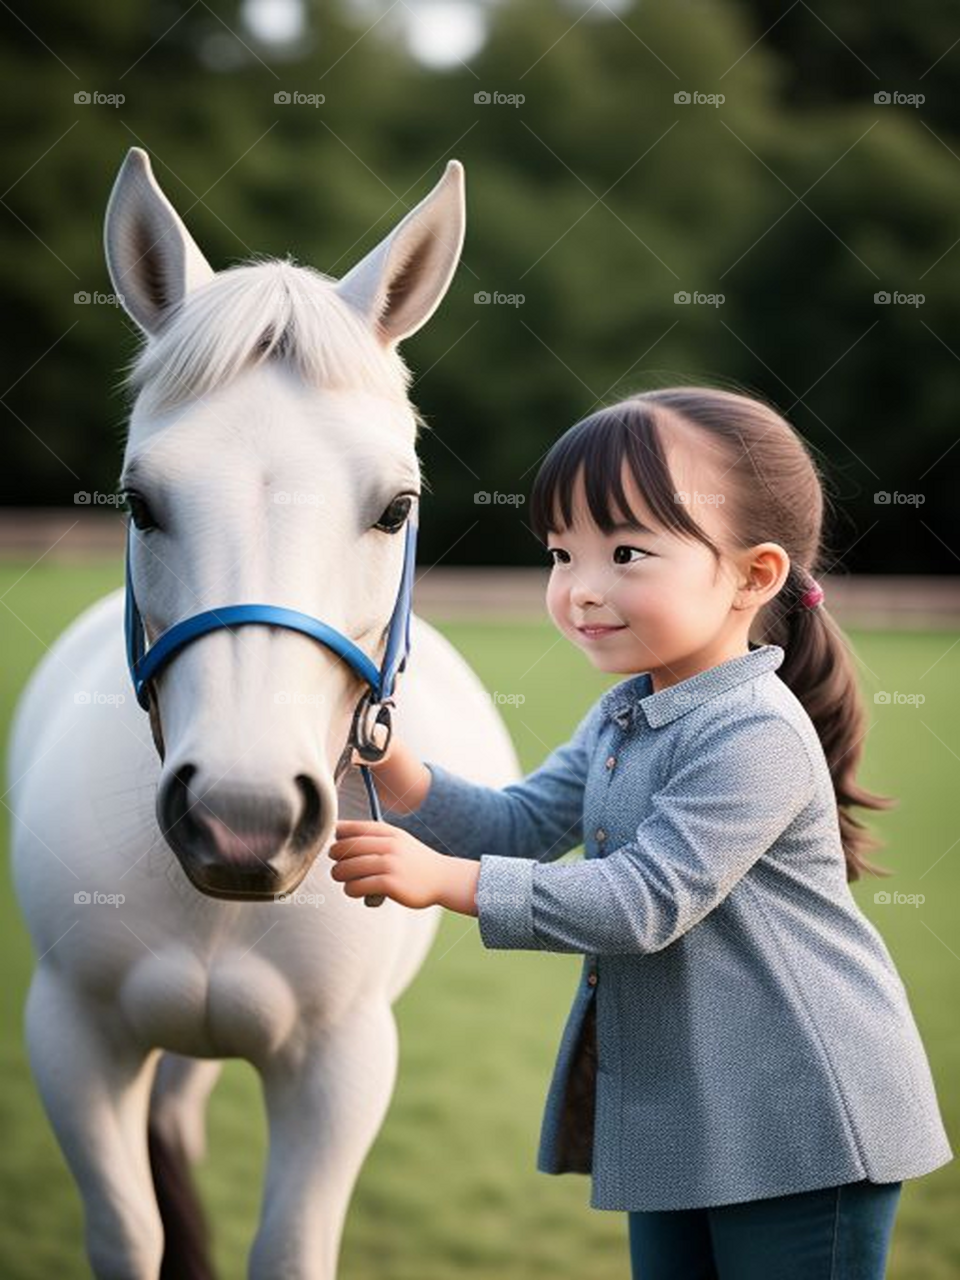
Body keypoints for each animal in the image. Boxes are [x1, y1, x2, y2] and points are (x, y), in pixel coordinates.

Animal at [8, 147, 520, 1280]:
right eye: (139, 501)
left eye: (396, 507)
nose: (241, 818)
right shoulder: (72, 1038)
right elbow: (128, 1232)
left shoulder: (340, 1066)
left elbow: (287, 1247)